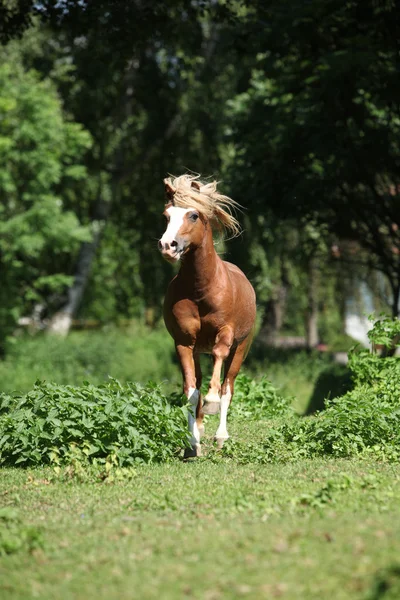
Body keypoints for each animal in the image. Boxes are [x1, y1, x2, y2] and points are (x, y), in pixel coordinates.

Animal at [157, 176, 256, 458]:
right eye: (166, 216)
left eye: (193, 215)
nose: (167, 246)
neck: (202, 289)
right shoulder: (183, 343)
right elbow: (191, 391)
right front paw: (193, 442)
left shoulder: (226, 333)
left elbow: (219, 368)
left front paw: (212, 403)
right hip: (198, 350)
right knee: (200, 382)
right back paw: (200, 428)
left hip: (241, 348)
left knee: (228, 386)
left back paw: (221, 436)